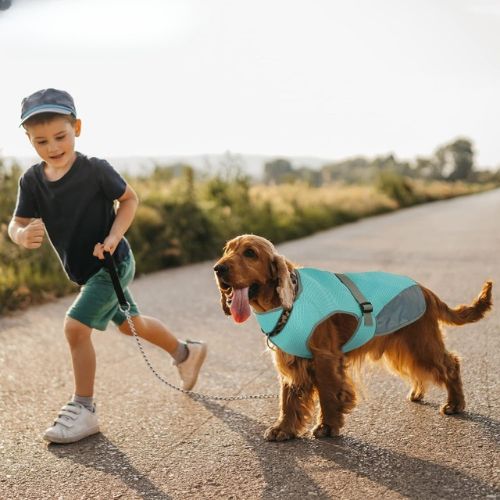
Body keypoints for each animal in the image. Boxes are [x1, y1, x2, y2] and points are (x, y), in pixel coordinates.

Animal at [214, 234, 492, 442]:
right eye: (227, 250)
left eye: (250, 253)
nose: (218, 268)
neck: (287, 302)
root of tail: (425, 289)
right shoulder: (290, 361)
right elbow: (287, 399)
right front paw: (284, 429)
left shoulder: (324, 358)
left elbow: (328, 394)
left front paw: (327, 427)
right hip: (404, 347)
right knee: (420, 369)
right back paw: (417, 392)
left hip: (421, 342)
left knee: (450, 364)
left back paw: (455, 404)